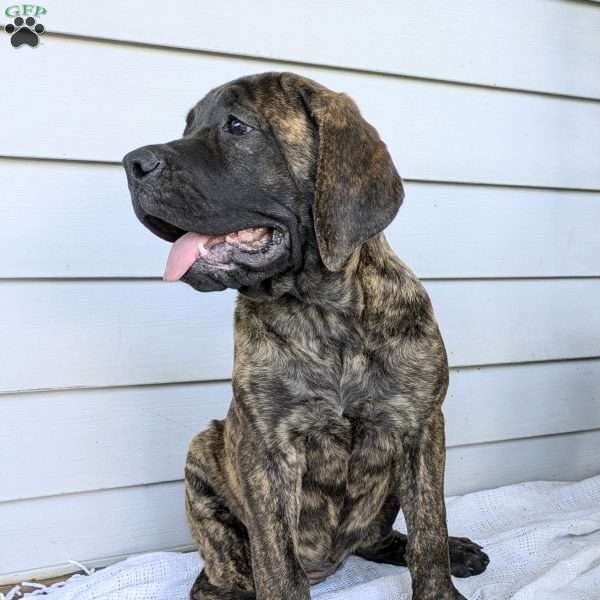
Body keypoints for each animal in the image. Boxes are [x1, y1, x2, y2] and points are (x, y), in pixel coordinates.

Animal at [124, 74, 490, 600]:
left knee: (378, 539)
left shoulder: (420, 427)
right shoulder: (267, 450)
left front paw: (440, 582)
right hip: (203, 454)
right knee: (219, 576)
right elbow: (278, 561)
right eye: (189, 126)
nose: (132, 164)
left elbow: (429, 528)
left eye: (237, 126)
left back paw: (456, 551)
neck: (323, 312)